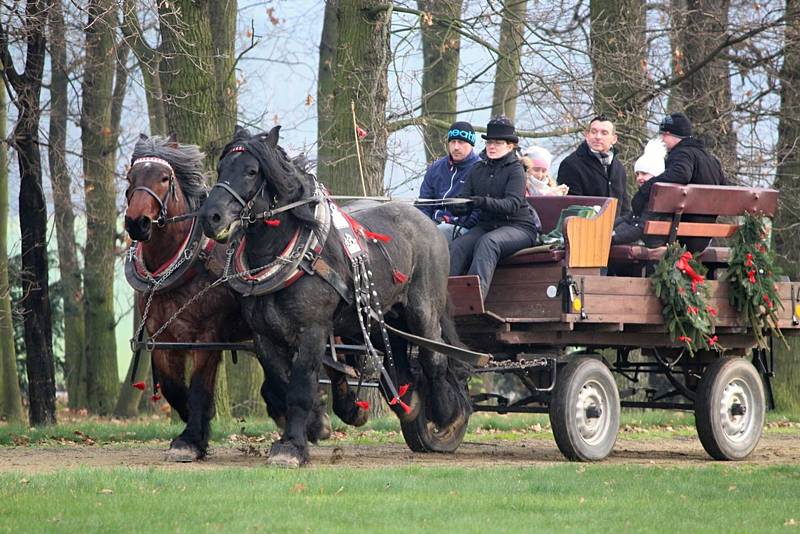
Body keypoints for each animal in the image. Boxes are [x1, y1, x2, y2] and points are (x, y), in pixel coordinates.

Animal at [121, 133, 332, 460]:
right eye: (130, 177)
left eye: (164, 178)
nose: (136, 222)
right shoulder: (162, 339)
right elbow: (173, 389)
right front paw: (197, 431)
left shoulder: (207, 337)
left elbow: (198, 389)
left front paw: (191, 439)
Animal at [198, 126, 468, 468]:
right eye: (221, 168)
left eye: (251, 171)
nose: (211, 217)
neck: (293, 252)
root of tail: (426, 221)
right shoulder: (264, 336)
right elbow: (284, 382)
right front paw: (316, 425)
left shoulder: (313, 330)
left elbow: (300, 387)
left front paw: (292, 447)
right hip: (385, 318)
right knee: (401, 358)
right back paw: (409, 404)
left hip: (423, 308)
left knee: (435, 358)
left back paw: (445, 415)